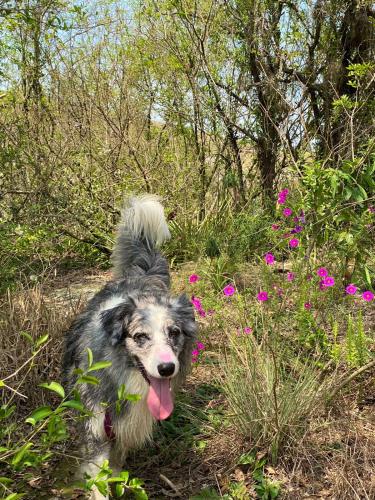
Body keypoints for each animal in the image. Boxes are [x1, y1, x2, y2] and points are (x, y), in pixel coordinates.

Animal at [62, 194, 197, 496]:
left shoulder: (126, 428)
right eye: (139, 337)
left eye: (174, 333)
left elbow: (115, 466)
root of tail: (140, 275)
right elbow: (98, 478)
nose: (167, 368)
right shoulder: (96, 427)